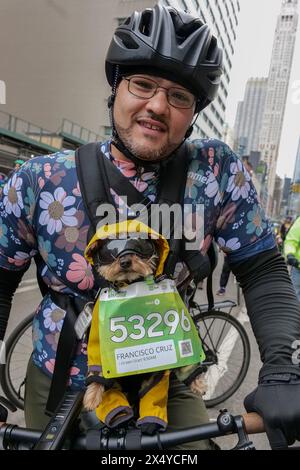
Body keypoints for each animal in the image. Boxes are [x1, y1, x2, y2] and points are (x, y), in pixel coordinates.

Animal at [83, 235, 207, 430]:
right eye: (109, 251)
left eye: (140, 245)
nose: (125, 261)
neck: (131, 285)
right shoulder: (96, 329)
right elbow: (95, 358)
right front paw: (91, 397)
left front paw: (197, 382)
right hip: (116, 381)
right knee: (112, 393)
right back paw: (119, 415)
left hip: (156, 378)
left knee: (152, 396)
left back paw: (149, 422)